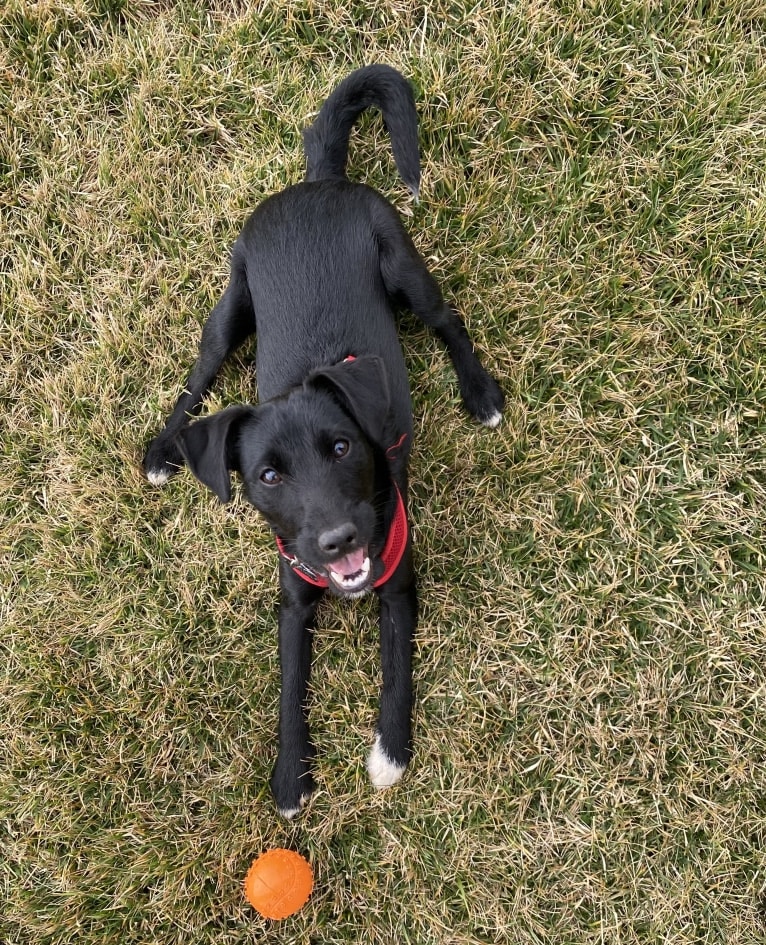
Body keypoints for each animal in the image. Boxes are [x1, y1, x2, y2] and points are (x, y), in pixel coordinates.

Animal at [144, 64, 504, 820]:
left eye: (342, 448)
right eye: (267, 477)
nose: (338, 540)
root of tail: (317, 181)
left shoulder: (398, 581)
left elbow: (397, 667)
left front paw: (390, 749)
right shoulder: (293, 602)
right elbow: (289, 688)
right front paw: (290, 776)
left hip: (402, 262)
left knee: (448, 318)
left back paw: (481, 392)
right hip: (229, 309)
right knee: (197, 377)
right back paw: (163, 449)